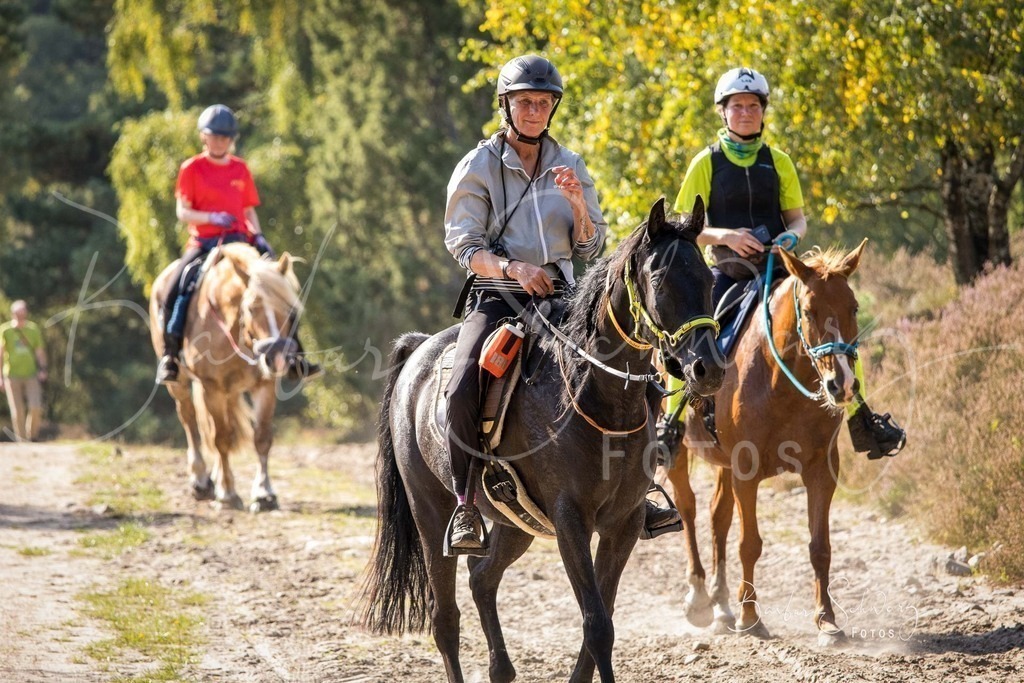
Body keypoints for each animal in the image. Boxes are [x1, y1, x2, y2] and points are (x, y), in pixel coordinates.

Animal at [149, 243, 303, 512]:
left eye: (290, 310)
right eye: (251, 308)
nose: (278, 357)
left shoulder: (264, 385)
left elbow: (261, 438)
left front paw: (264, 494)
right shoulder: (212, 388)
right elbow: (220, 439)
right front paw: (229, 494)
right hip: (181, 384)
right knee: (190, 421)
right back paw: (201, 481)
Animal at [359, 198, 724, 683]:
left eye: (709, 279)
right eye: (661, 281)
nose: (709, 368)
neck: (592, 395)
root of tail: (418, 351)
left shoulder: (624, 523)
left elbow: (601, 621)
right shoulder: (571, 521)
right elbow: (597, 624)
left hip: (516, 525)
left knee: (482, 577)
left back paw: (501, 668)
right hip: (430, 513)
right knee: (445, 620)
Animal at [663, 240, 868, 645]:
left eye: (853, 307)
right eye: (809, 311)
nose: (842, 384)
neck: (782, 383)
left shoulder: (822, 470)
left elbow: (820, 546)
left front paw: (827, 621)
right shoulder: (747, 469)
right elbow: (750, 544)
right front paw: (750, 617)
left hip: (723, 463)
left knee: (718, 515)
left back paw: (721, 604)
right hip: (680, 450)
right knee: (688, 508)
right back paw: (699, 598)